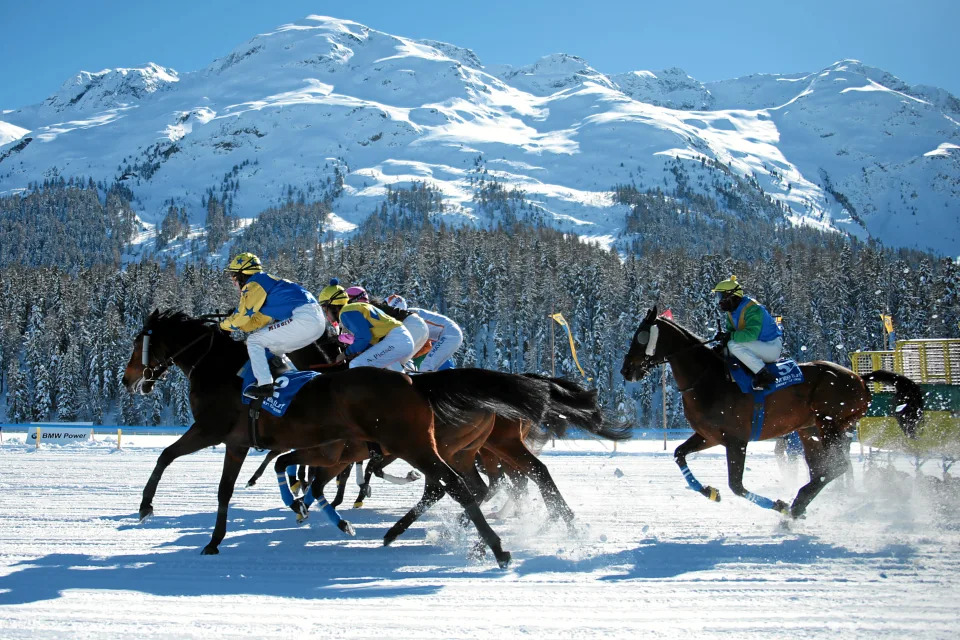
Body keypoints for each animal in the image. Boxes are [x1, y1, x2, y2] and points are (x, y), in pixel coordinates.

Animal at [122, 310, 575, 566]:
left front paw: (145, 507)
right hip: (454, 448)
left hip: (423, 445)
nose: (129, 380)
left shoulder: (212, 429)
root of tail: (414, 381)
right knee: (479, 483)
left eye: (137, 342)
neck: (222, 371)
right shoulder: (239, 441)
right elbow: (226, 489)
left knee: (464, 486)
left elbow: (166, 456)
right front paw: (215, 541)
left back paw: (495, 546)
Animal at [620, 306, 924, 518]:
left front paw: (777, 504)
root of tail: (859, 379)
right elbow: (679, 454)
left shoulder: (736, 441)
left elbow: (737, 486)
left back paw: (793, 505)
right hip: (810, 431)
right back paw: (799, 505)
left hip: (831, 425)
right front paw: (709, 491)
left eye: (640, 336)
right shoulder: (709, 436)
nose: (626, 370)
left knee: (836, 467)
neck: (708, 378)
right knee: (822, 469)